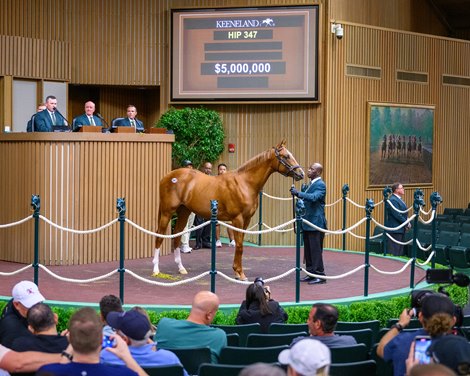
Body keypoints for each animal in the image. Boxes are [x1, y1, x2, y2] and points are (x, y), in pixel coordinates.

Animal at [151, 140, 304, 280]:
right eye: (286, 156)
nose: (301, 173)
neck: (245, 183)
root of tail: (167, 177)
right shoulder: (238, 219)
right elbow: (240, 246)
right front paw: (240, 274)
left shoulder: (246, 220)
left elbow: (239, 244)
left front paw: (237, 270)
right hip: (167, 212)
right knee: (159, 236)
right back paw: (156, 269)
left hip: (184, 212)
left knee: (177, 235)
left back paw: (181, 268)